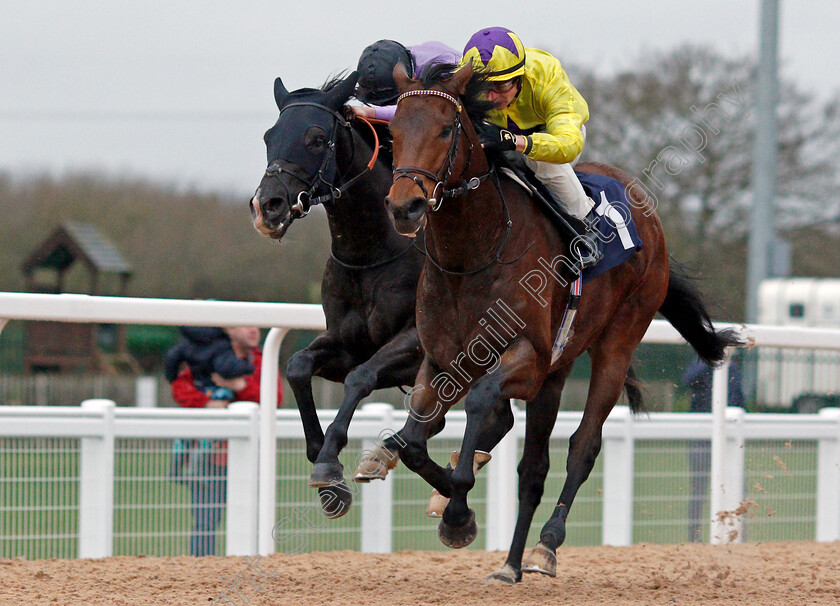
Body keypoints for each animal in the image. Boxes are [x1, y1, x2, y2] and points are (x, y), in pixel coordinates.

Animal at [378, 64, 740, 588]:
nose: (404, 207)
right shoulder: (443, 362)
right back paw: (510, 563)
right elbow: (409, 443)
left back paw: (546, 546)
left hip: (616, 344)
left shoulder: (527, 359)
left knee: (582, 447)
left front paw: (458, 510)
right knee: (534, 468)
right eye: (394, 131)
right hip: (559, 368)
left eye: (446, 129)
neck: (472, 255)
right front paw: (448, 499)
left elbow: (481, 402)